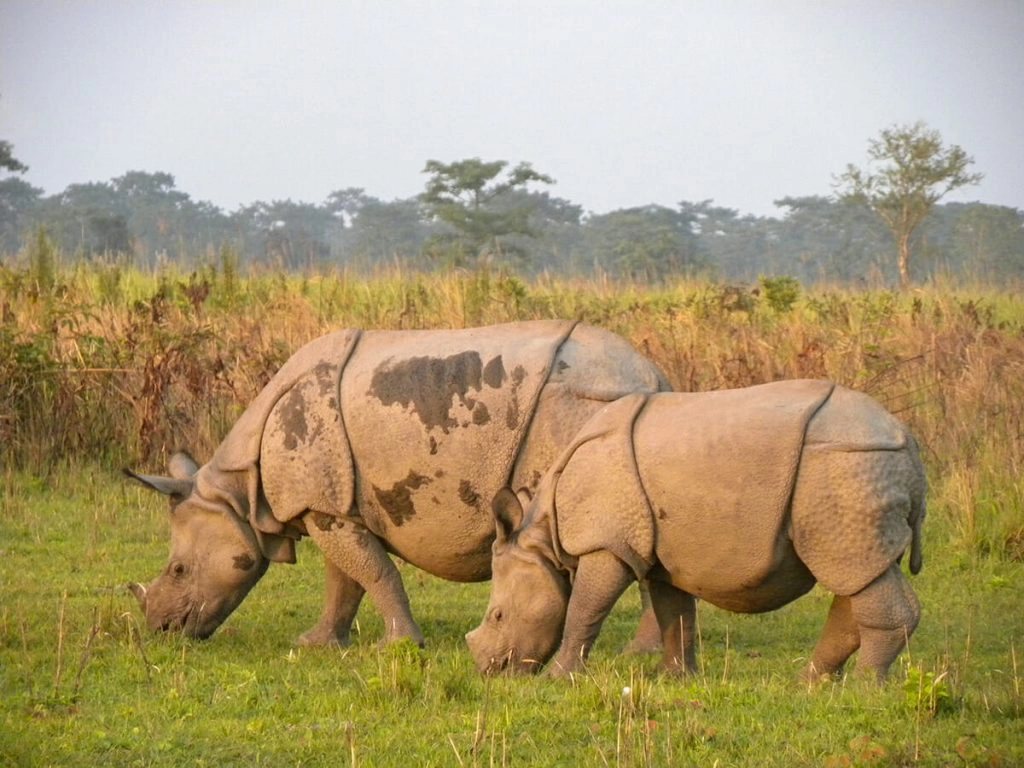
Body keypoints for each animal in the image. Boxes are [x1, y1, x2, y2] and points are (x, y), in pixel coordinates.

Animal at [126, 320, 669, 648]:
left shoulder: (321, 504)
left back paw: (636, 653)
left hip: (582, 405)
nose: (162, 629)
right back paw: (643, 654)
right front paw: (317, 644)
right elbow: (344, 580)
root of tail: (653, 376)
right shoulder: (331, 504)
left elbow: (374, 572)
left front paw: (401, 645)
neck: (238, 490)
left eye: (178, 569)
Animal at [466, 380, 927, 681]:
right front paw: (674, 678)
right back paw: (811, 685)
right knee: (860, 574)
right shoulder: (660, 555)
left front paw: (559, 679)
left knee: (855, 573)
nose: (490, 670)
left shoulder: (607, 544)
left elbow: (584, 609)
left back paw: (863, 688)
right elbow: (674, 613)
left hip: (847, 466)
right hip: (856, 475)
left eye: (498, 615)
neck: (545, 539)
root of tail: (908, 441)